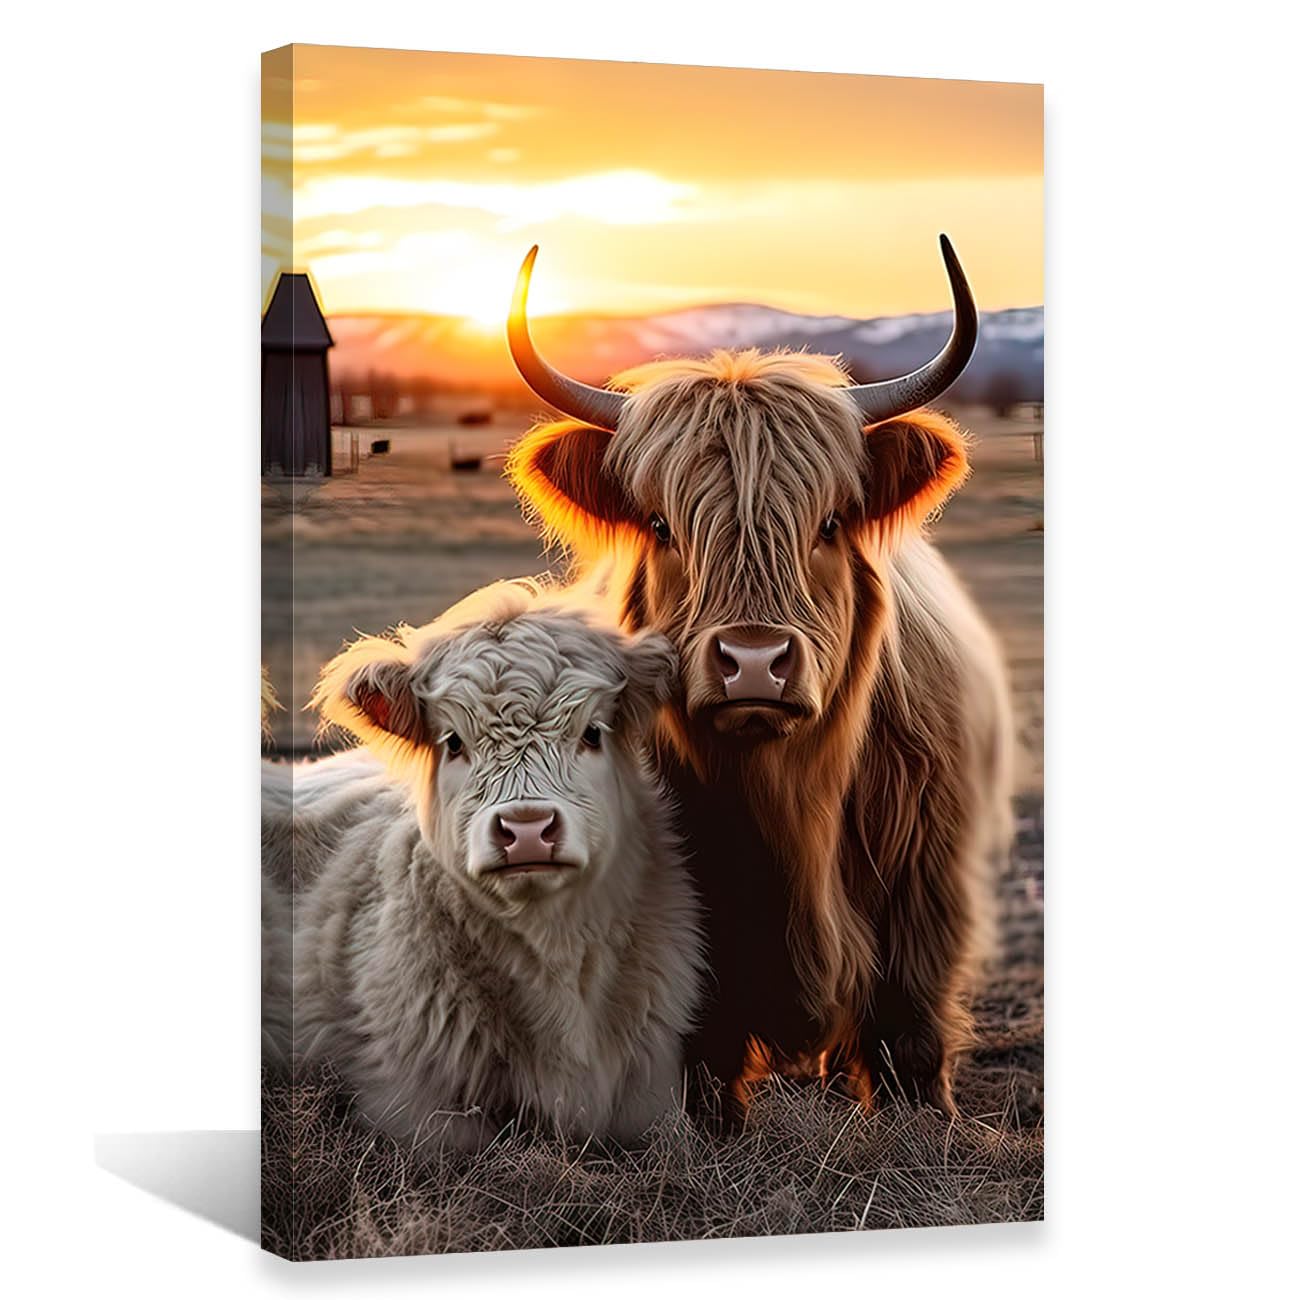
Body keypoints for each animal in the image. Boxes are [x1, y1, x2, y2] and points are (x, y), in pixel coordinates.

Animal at [504, 237, 1013, 1116]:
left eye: (830, 524)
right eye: (661, 525)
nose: (751, 663)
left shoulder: (929, 882)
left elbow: (909, 1028)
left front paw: (928, 1118)